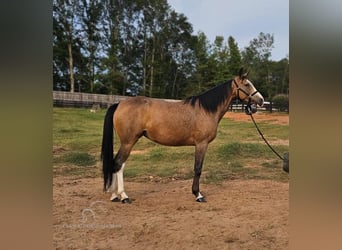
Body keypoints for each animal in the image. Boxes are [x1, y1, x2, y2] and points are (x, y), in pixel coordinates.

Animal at [101, 68, 264, 203]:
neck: (206, 110)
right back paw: (123, 196)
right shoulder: (201, 144)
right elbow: (198, 168)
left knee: (116, 164)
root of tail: (119, 104)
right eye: (247, 84)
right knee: (118, 164)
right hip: (128, 142)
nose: (261, 100)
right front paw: (198, 194)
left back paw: (114, 195)